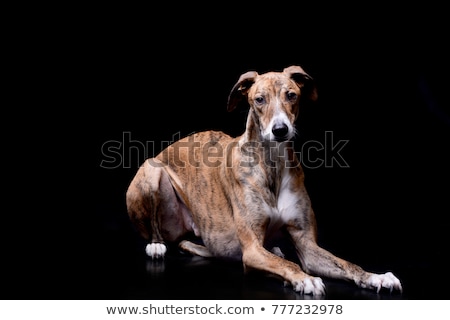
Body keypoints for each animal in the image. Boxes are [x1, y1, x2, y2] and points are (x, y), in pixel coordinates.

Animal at [125, 65, 402, 296]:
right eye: (259, 100)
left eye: (291, 95)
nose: (280, 130)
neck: (272, 165)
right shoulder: (252, 250)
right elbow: (287, 263)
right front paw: (304, 279)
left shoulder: (306, 244)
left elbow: (345, 263)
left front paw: (376, 276)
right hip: (151, 172)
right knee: (160, 232)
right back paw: (156, 245)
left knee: (191, 244)